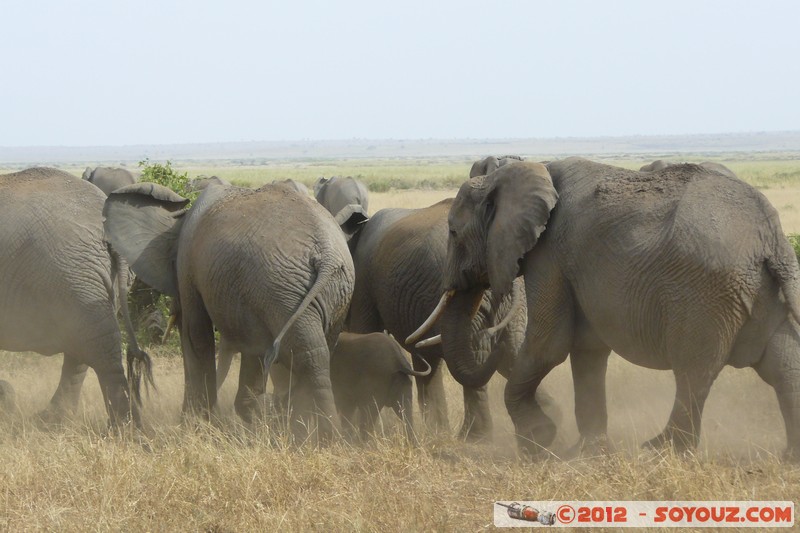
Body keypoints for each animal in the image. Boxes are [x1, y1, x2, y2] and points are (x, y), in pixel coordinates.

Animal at [0, 166, 152, 424]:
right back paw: (52, 419)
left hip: (72, 273)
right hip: (86, 280)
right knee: (83, 342)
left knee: (99, 346)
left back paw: (125, 426)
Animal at [104, 181, 354, 438]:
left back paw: (321, 434)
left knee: (306, 353)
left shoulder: (189, 264)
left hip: (283, 289)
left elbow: (196, 337)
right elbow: (251, 347)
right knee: (317, 351)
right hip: (321, 290)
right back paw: (313, 429)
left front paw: (196, 423)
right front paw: (249, 413)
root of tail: (328, 255)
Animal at [412, 156, 800, 456]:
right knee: (783, 366)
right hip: (761, 288)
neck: (526, 168)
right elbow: (587, 350)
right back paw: (787, 458)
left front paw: (538, 442)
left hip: (706, 293)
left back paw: (659, 450)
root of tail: (772, 236)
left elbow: (550, 344)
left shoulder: (550, 255)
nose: (491, 336)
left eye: (452, 233)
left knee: (694, 371)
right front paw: (587, 452)